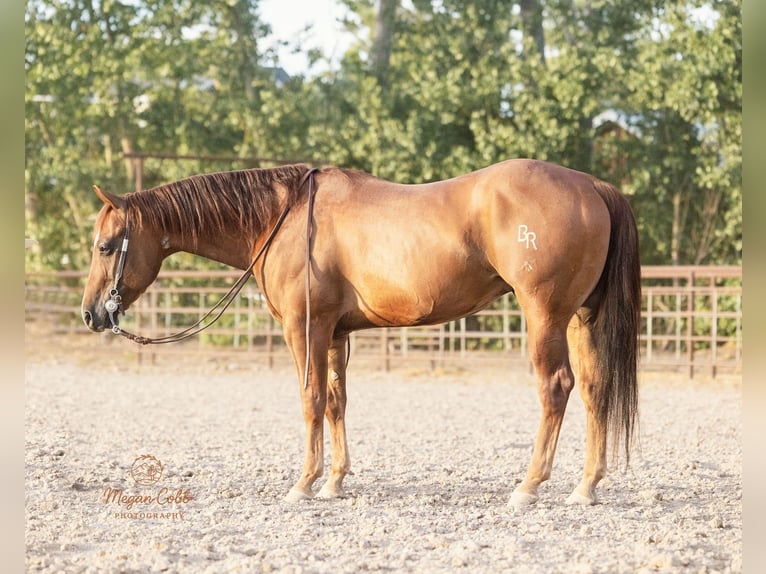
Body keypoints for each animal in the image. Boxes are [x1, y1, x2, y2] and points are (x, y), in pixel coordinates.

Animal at [81, 159, 641, 507]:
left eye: (106, 246)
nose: (90, 314)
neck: (282, 219)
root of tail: (592, 186)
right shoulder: (334, 333)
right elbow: (335, 401)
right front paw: (334, 482)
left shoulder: (304, 330)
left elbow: (309, 399)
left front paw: (303, 484)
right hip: (580, 318)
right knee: (594, 391)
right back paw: (585, 487)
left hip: (544, 316)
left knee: (556, 388)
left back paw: (528, 486)